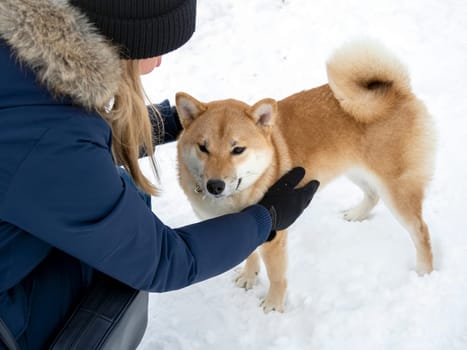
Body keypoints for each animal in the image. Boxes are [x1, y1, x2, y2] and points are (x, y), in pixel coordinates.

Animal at [174, 39, 436, 314]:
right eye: (203, 147)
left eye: (238, 150)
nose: (215, 185)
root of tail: (397, 92)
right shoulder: (245, 227)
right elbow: (249, 253)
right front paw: (249, 276)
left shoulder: (274, 236)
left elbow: (277, 276)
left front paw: (274, 305)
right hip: (353, 168)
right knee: (372, 195)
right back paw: (356, 214)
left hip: (396, 188)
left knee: (421, 230)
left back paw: (424, 271)